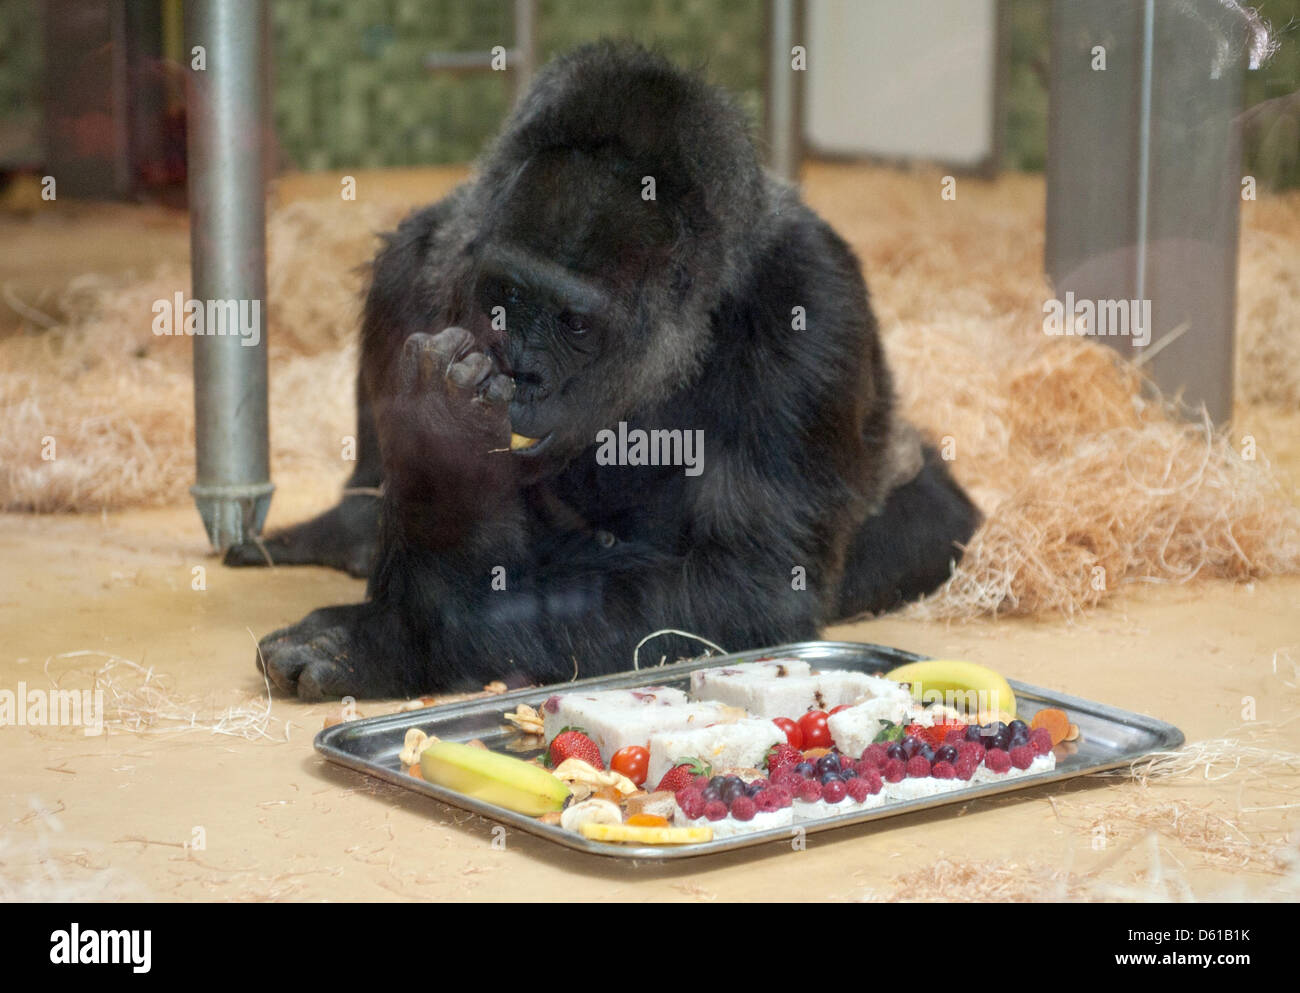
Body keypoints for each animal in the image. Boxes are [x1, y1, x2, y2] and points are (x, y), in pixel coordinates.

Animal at [226, 44, 977, 696]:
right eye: (505, 297)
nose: (524, 373)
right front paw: (440, 466)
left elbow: (749, 582)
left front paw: (402, 634)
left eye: (574, 325)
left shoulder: (815, 303)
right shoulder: (417, 261)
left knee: (923, 519)